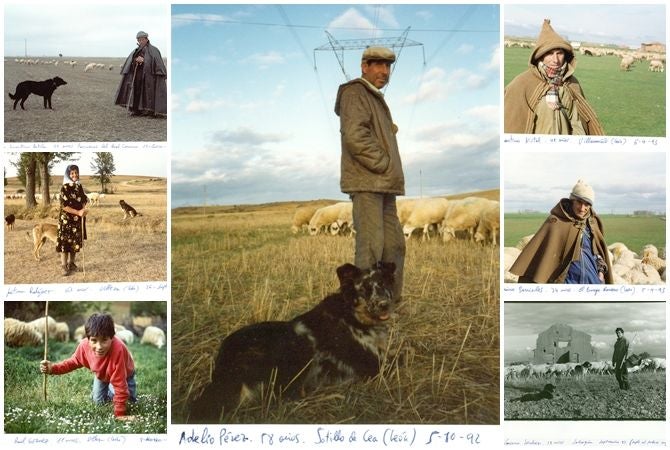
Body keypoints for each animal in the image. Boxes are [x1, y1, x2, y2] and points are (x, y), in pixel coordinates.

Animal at [188, 260, 400, 422]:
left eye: (383, 285)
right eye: (363, 289)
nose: (384, 305)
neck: (352, 315)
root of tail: (223, 361)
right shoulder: (374, 365)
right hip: (298, 349)